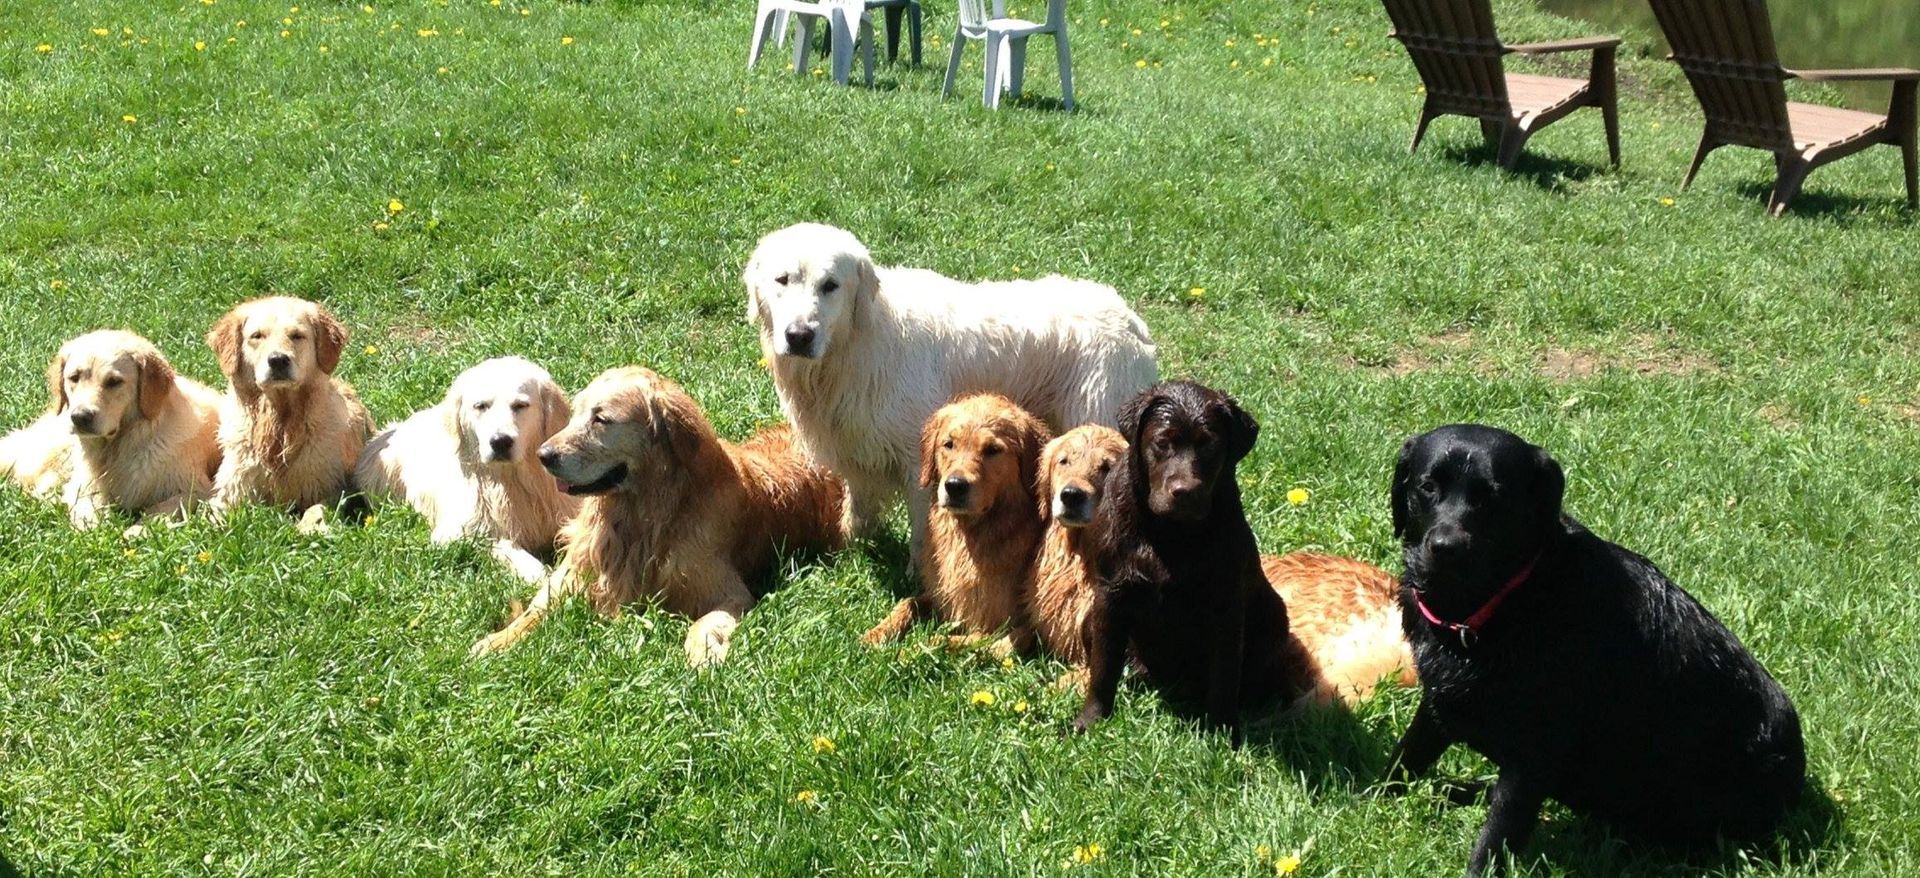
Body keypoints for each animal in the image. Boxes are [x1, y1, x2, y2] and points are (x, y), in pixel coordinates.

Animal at [355, 355, 576, 580]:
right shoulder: (457, 534)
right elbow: (505, 546)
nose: (500, 441)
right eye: (481, 406)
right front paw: (539, 575)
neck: (511, 480)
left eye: (520, 405)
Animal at [468, 365, 844, 664]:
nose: (544, 455)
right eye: (575, 414)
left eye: (601, 419)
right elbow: (535, 610)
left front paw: (703, 654)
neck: (640, 517)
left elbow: (704, 624)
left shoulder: (729, 593)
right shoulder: (571, 575)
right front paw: (495, 641)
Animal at [744, 220, 1152, 545]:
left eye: (830, 285)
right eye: (782, 280)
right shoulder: (854, 448)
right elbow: (859, 512)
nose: (799, 336)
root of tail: (1128, 317)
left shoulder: (918, 457)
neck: (856, 343)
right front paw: (854, 553)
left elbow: (923, 535)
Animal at [867, 393, 1052, 653]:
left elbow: (975, 639)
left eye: (993, 449)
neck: (970, 536)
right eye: (949, 444)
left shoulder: (1014, 623)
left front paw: (922, 646)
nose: (954, 486)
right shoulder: (940, 595)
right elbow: (908, 602)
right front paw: (878, 633)